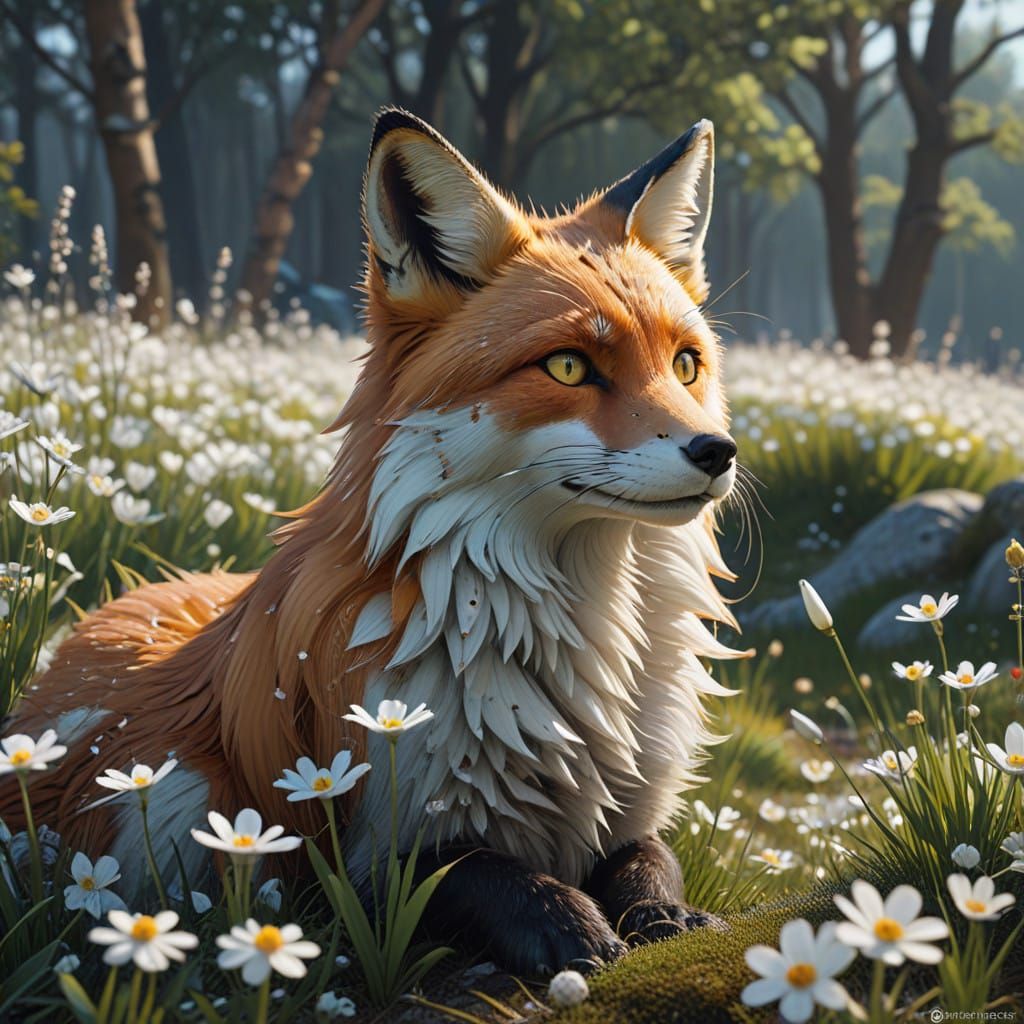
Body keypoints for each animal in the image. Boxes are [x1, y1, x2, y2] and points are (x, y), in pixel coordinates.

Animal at [3, 109, 747, 974]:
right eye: (568, 366)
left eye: (686, 365)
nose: (717, 452)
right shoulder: (346, 854)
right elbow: (481, 874)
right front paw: (574, 930)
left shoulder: (630, 811)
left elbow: (650, 860)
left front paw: (664, 915)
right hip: (163, 801)